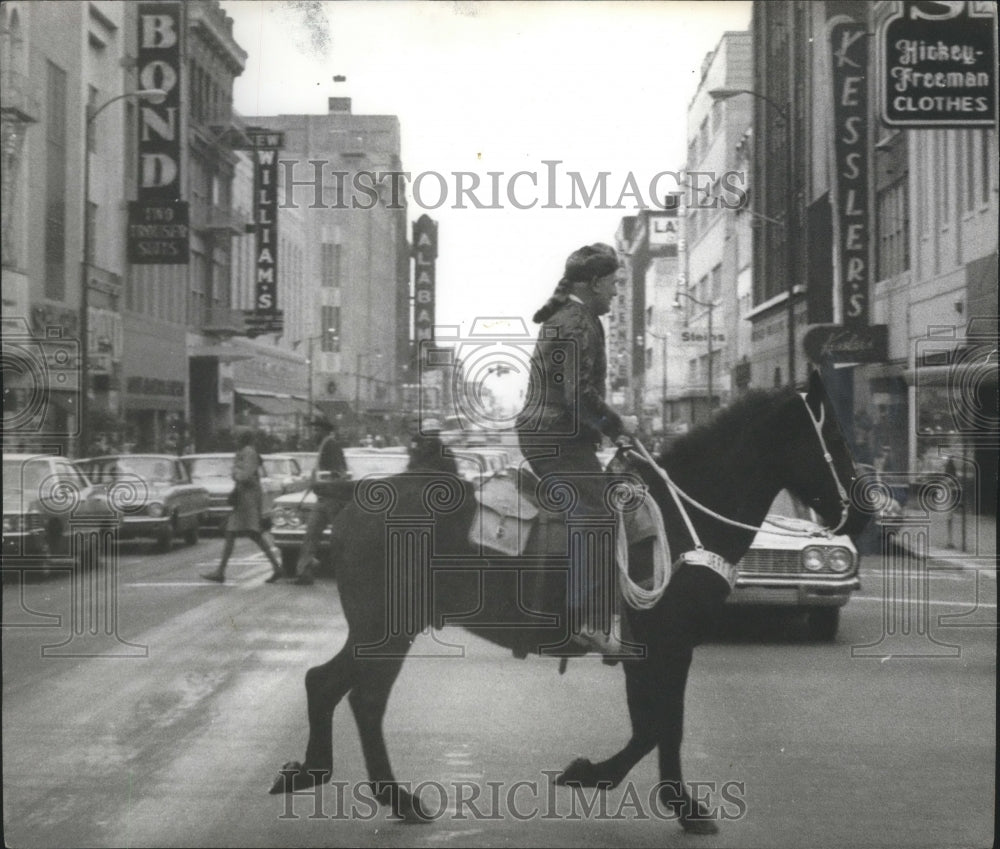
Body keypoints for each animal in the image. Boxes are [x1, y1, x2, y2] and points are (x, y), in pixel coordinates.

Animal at [268, 372, 868, 836]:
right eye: (833, 435)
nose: (863, 513)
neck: (681, 520)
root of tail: (352, 495)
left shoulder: (651, 648)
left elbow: (653, 724)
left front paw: (611, 780)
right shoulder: (663, 643)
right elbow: (660, 725)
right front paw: (668, 801)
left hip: (385, 629)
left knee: (340, 690)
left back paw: (350, 784)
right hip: (385, 628)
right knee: (349, 693)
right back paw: (369, 790)